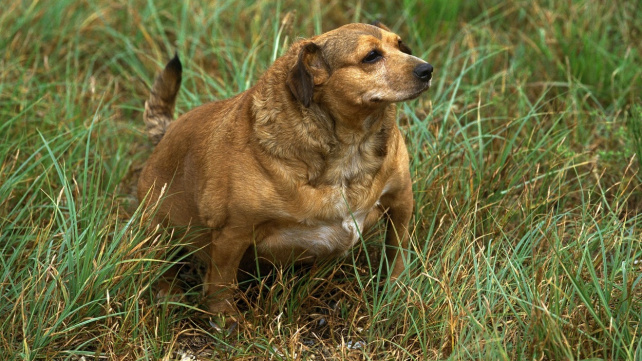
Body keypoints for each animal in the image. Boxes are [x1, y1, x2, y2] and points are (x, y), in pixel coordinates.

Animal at [138, 21, 432, 316]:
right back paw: (167, 293)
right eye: (371, 56)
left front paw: (397, 292)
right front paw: (225, 319)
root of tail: (165, 134)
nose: (427, 69)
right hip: (158, 230)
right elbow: (221, 283)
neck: (351, 147)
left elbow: (397, 251)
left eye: (400, 45)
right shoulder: (232, 232)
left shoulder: (401, 201)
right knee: (160, 264)